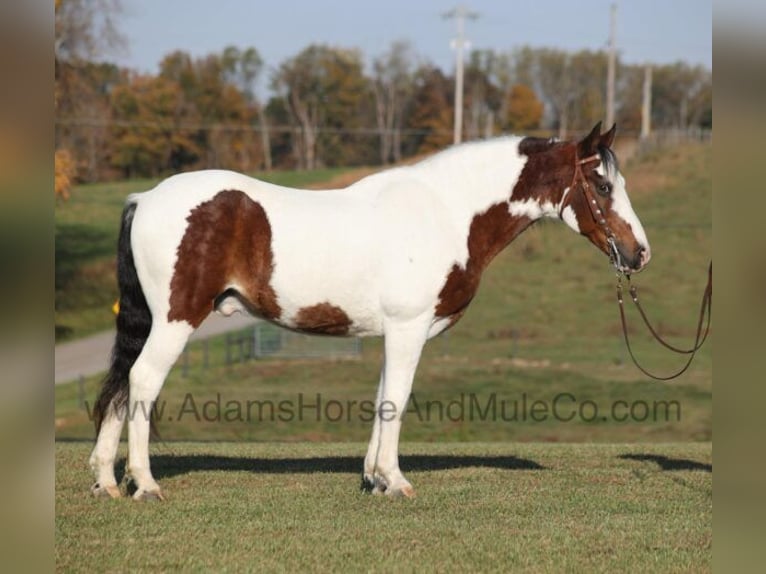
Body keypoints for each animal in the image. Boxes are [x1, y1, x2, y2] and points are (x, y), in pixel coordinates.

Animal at [91, 121, 656, 500]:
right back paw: (145, 484)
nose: (640, 254)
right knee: (142, 381)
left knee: (122, 385)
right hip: (176, 320)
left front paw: (374, 478)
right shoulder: (409, 328)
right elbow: (397, 401)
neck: (445, 213)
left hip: (152, 322)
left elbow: (384, 396)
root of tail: (145, 198)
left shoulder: (396, 333)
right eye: (603, 186)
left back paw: (105, 481)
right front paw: (396, 480)